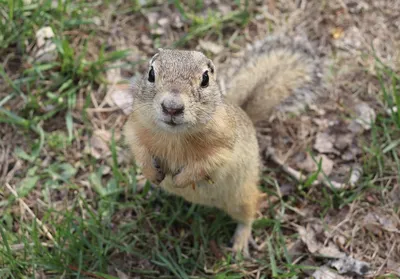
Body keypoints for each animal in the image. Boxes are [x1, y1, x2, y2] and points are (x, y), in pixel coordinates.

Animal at [123, 35, 324, 258]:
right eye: (151, 73)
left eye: (205, 79)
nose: (172, 108)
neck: (175, 136)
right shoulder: (134, 126)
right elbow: (139, 149)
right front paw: (150, 172)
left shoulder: (225, 146)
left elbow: (207, 163)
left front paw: (181, 179)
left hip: (242, 197)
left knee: (249, 214)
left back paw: (240, 242)